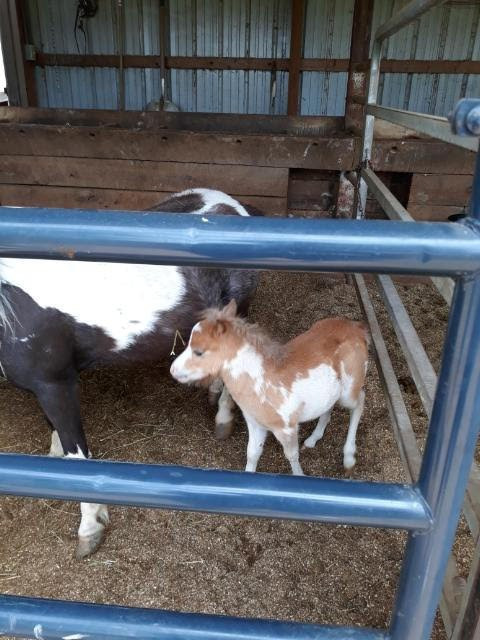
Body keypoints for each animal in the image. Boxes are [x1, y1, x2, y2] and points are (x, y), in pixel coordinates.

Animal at [171, 300, 370, 476]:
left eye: (198, 352)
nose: (173, 370)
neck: (261, 382)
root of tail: (357, 328)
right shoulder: (255, 423)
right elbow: (252, 454)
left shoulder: (287, 428)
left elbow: (292, 455)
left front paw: (301, 476)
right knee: (329, 406)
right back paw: (313, 439)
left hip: (349, 389)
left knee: (360, 401)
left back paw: (349, 459)